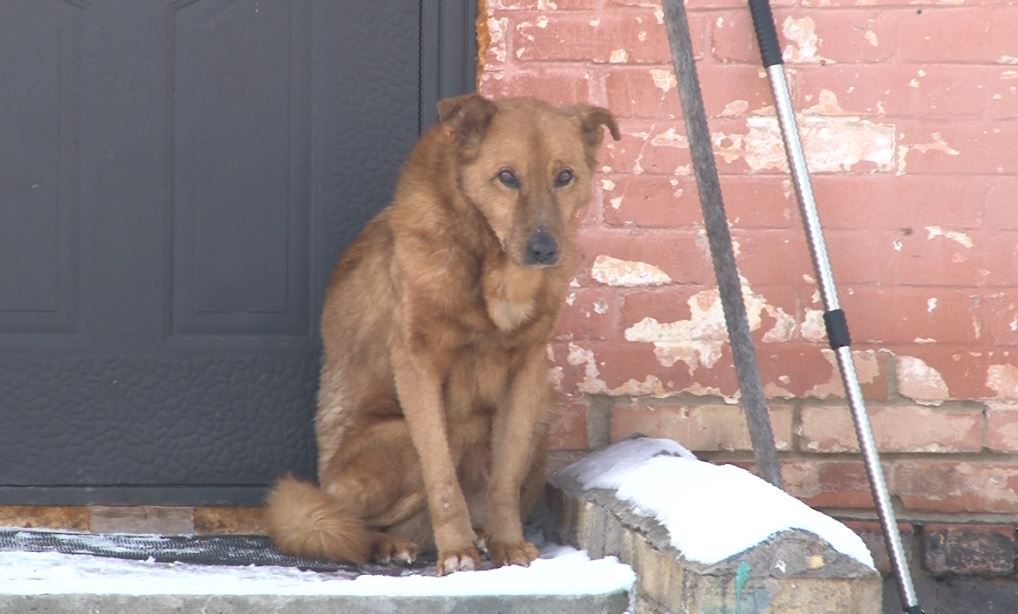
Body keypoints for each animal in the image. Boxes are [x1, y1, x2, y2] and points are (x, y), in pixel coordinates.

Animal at [266, 93, 614, 574]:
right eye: (507, 177)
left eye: (565, 177)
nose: (544, 251)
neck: (491, 270)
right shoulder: (417, 365)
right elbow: (442, 477)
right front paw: (457, 551)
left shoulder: (526, 373)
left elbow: (504, 477)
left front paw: (507, 543)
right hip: (400, 440)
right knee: (343, 523)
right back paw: (394, 543)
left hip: (541, 415)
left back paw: (481, 535)